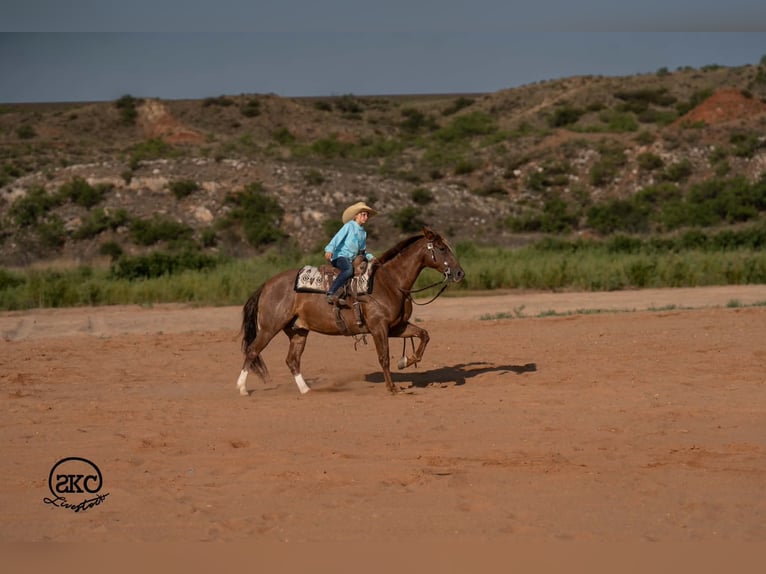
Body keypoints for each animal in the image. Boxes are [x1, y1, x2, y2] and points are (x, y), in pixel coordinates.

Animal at [236, 226, 465, 395]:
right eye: (441, 248)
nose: (459, 273)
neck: (389, 282)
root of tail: (267, 284)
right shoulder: (379, 328)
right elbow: (384, 357)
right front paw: (392, 388)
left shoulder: (397, 327)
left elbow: (424, 335)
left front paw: (406, 361)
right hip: (269, 328)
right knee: (252, 350)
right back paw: (242, 389)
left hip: (298, 330)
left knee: (292, 360)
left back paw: (306, 390)